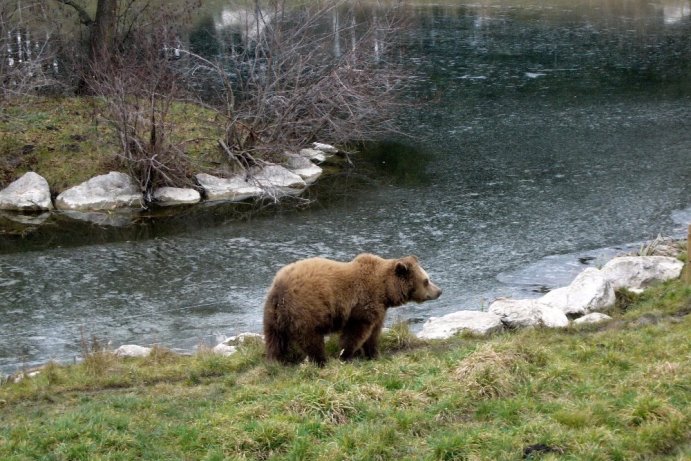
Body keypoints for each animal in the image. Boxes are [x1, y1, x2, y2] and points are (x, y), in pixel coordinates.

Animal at [264, 253, 444, 364]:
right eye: (426, 280)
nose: (439, 291)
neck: (385, 291)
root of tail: (279, 289)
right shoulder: (362, 303)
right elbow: (356, 332)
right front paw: (346, 355)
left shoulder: (379, 309)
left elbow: (373, 333)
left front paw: (374, 353)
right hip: (306, 309)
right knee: (311, 339)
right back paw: (321, 360)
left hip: (273, 314)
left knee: (275, 339)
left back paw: (277, 361)